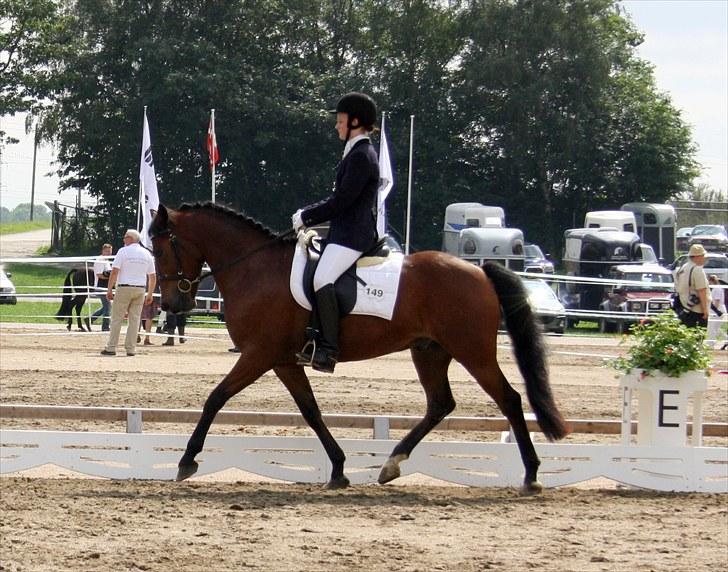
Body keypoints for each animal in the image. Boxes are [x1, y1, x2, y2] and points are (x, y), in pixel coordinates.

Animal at [149, 201, 568, 492]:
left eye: (161, 249)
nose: (172, 305)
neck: (254, 268)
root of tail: (479, 271)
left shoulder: (259, 354)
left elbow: (215, 398)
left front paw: (187, 460)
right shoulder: (284, 361)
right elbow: (311, 411)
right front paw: (338, 469)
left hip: (472, 351)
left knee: (509, 399)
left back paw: (531, 475)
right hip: (429, 350)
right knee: (440, 404)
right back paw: (392, 464)